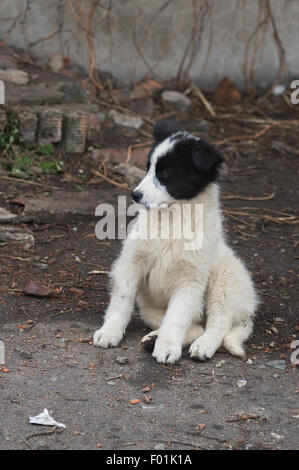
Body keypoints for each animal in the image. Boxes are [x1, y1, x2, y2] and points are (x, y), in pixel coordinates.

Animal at [94, 118, 258, 364]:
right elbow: (121, 300)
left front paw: (168, 346)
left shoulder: (190, 279)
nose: (135, 195)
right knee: (193, 325)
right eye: (148, 167)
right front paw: (110, 331)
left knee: (217, 324)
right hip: (150, 308)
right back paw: (153, 338)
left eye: (165, 172)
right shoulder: (131, 262)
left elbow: (177, 317)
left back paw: (202, 345)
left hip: (224, 281)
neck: (173, 218)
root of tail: (248, 308)